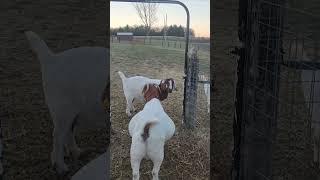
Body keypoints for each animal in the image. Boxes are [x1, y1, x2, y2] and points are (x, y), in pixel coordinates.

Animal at [24, 31, 109, 174]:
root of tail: (51, 59)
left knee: (68, 131)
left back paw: (76, 152)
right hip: (62, 108)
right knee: (58, 135)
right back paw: (61, 166)